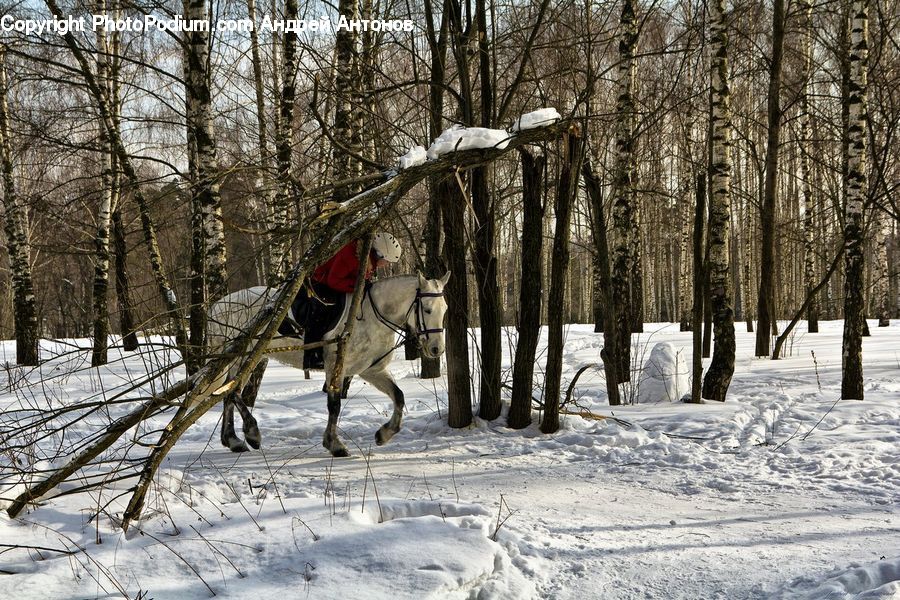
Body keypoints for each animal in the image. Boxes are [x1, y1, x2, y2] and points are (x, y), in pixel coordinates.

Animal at [206, 271, 450, 457]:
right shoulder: (335, 368)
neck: (372, 317)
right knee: (232, 392)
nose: (437, 349)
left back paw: (233, 440)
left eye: (445, 309)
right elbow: (334, 405)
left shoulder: (372, 371)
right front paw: (335, 444)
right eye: (427, 309)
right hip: (243, 358)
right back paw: (251, 433)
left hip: (243, 360)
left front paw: (384, 434)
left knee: (228, 394)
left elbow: (398, 396)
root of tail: (218, 306)